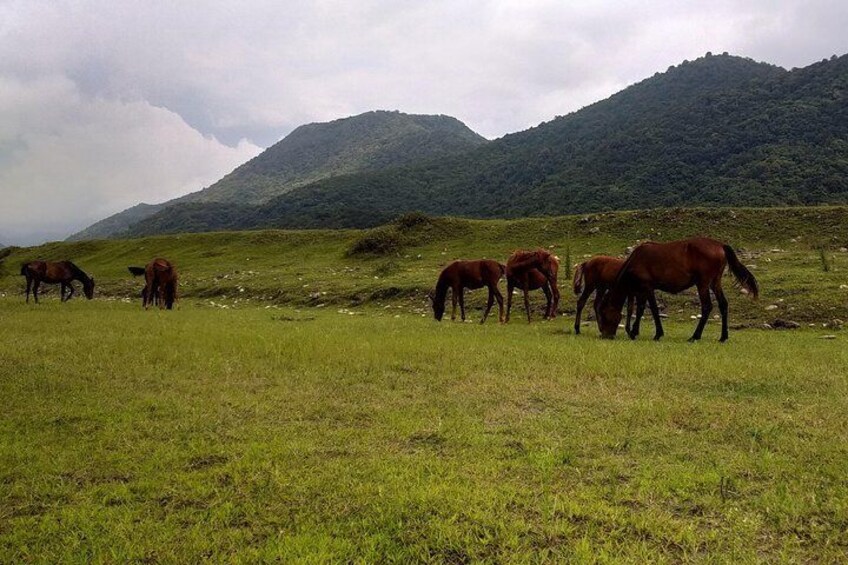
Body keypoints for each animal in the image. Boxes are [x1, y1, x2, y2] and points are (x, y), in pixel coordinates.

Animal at [596, 237, 760, 342]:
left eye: (604, 315)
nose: (605, 335)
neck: (635, 260)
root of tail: (720, 245)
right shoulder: (641, 290)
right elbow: (640, 309)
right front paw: (635, 331)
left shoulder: (647, 287)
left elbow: (651, 309)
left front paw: (654, 334)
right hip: (715, 282)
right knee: (723, 304)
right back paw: (723, 337)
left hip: (703, 283)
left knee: (707, 306)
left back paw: (695, 336)